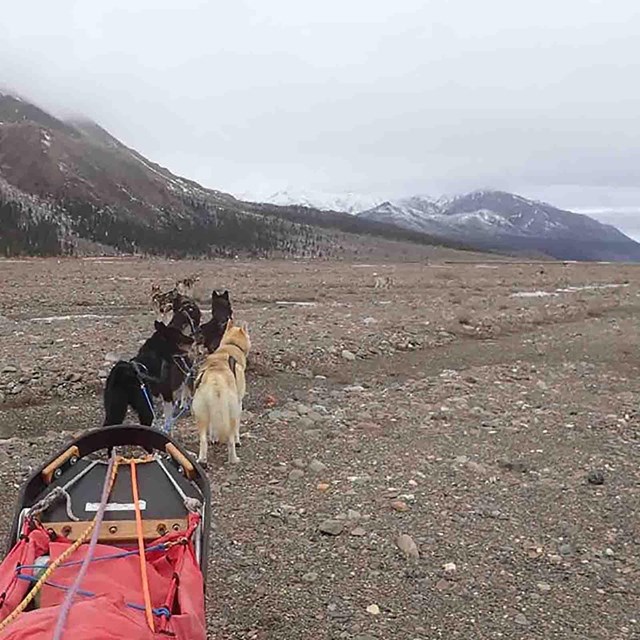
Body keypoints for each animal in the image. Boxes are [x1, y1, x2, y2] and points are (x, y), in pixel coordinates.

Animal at [190, 320, 250, 464]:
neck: (231, 345)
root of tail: (215, 379)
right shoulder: (239, 403)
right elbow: (237, 429)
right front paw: (238, 441)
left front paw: (214, 438)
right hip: (231, 412)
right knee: (231, 439)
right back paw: (234, 459)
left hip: (201, 414)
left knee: (203, 440)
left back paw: (202, 459)